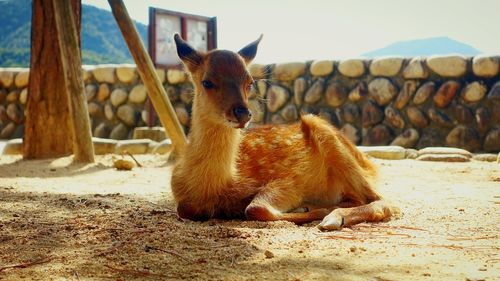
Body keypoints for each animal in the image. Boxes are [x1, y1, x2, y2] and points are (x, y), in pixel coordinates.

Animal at [171, 34, 398, 229]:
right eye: (207, 81)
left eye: (250, 82)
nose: (242, 113)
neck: (216, 186)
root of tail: (369, 164)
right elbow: (183, 209)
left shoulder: (289, 181)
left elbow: (255, 208)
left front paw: (316, 209)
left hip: (327, 134)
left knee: (383, 200)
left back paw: (331, 217)